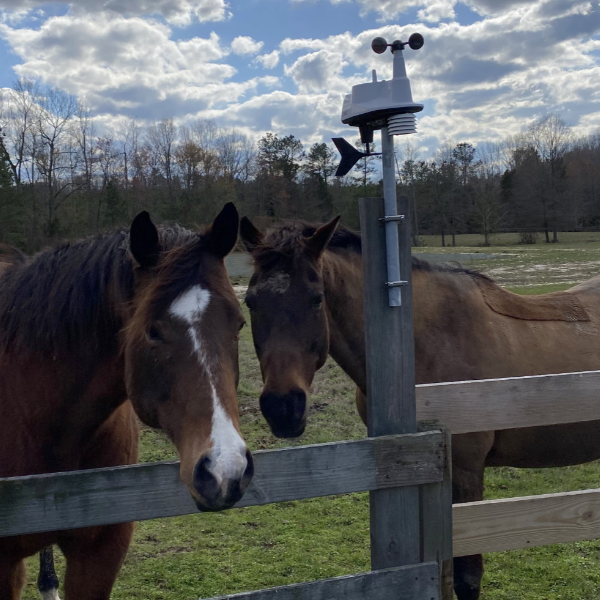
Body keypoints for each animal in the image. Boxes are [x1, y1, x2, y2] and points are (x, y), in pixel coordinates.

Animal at [240, 216, 600, 600]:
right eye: (250, 301)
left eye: (316, 298)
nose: (282, 407)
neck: (423, 346)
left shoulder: (465, 473)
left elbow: (467, 578)